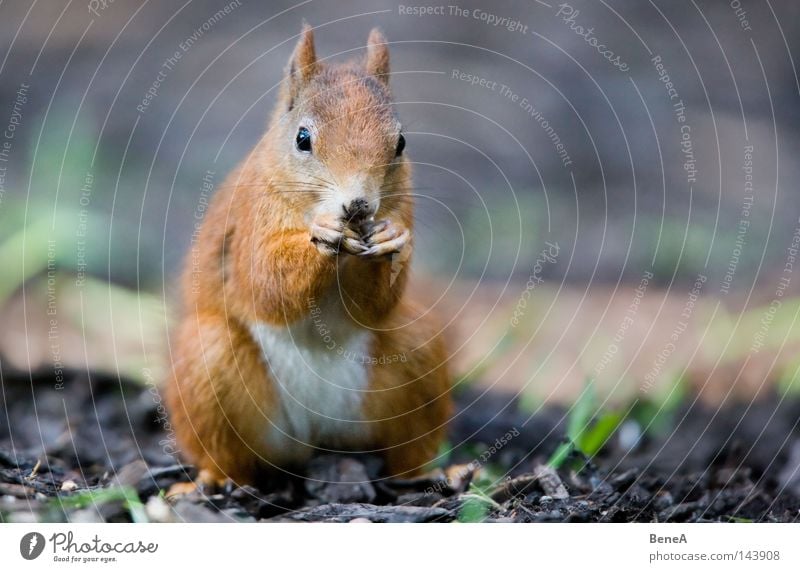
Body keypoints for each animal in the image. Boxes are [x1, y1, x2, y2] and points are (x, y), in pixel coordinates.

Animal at [166, 25, 454, 488]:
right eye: (303, 139)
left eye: (401, 142)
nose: (358, 205)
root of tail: (313, 437)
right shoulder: (251, 219)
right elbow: (264, 281)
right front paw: (322, 235)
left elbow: (374, 305)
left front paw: (391, 238)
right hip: (209, 364)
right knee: (227, 452)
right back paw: (215, 479)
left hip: (416, 349)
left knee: (405, 448)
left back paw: (426, 474)